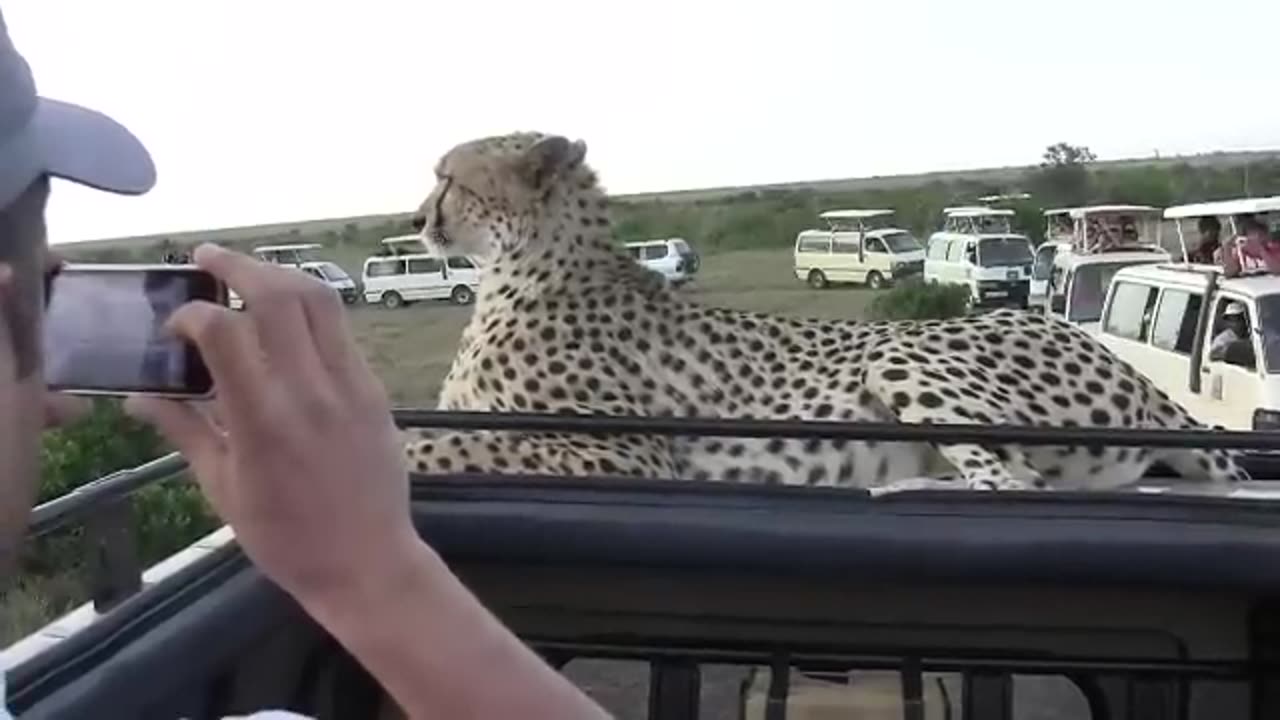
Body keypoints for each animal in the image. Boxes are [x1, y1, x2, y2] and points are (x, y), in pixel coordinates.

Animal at [401, 130, 1249, 491]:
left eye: (448, 177)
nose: (416, 218)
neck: (522, 265)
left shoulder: (628, 457)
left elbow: (447, 445)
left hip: (901, 353)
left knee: (1013, 486)